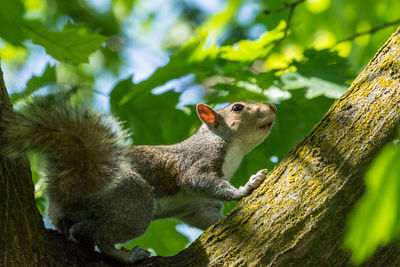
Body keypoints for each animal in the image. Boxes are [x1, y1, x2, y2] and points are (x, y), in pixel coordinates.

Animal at [0, 96, 276, 264]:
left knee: (81, 230)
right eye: (237, 107)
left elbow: (208, 218)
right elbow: (206, 182)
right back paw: (128, 256)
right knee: (103, 236)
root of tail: (75, 182)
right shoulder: (196, 165)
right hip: (134, 200)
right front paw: (246, 187)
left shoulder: (197, 206)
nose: (273, 107)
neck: (232, 150)